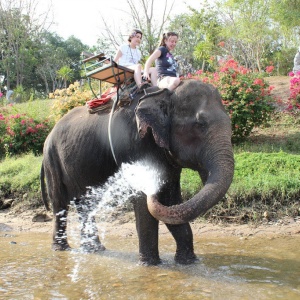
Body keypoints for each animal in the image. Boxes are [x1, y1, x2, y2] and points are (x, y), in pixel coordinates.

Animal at [40, 79, 234, 264]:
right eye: (200, 124)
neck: (163, 94)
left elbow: (171, 200)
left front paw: (188, 262)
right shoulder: (133, 143)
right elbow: (143, 201)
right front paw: (150, 265)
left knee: (86, 204)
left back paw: (94, 250)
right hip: (51, 159)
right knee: (60, 203)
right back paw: (61, 249)